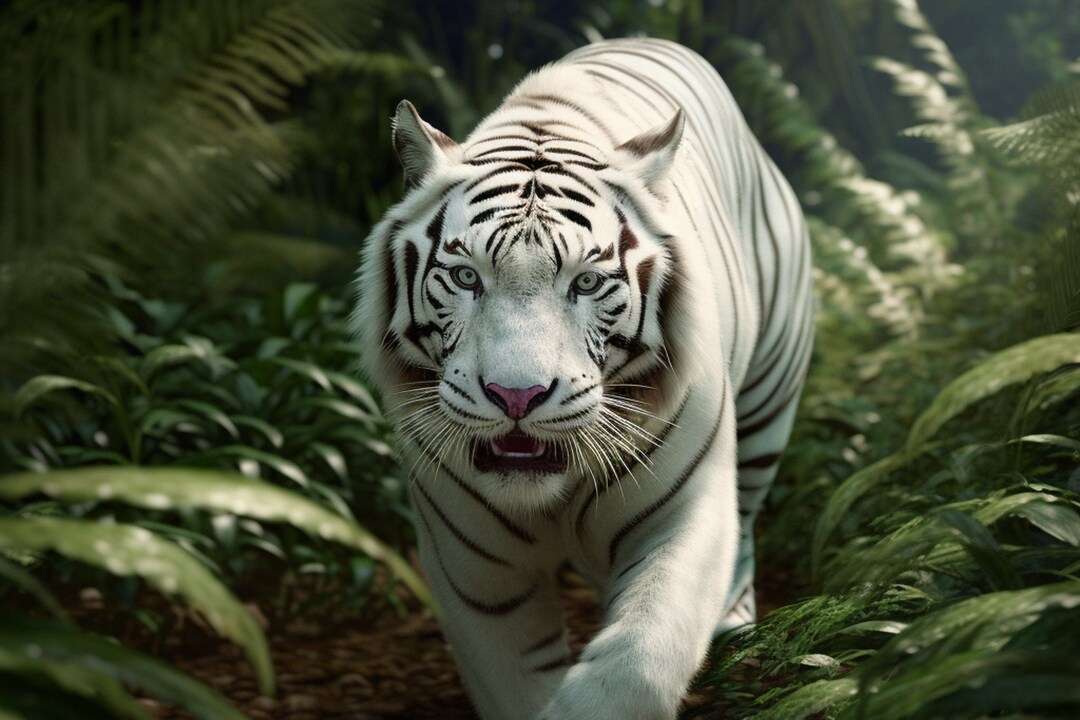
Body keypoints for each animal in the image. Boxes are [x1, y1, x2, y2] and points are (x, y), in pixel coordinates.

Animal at [352, 38, 813, 720]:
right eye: (465, 278)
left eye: (587, 283)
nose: (516, 396)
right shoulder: (472, 568)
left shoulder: (683, 517)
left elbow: (638, 664)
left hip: (767, 409)